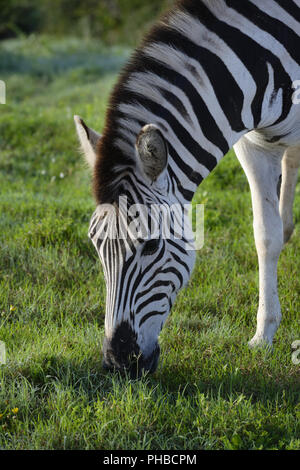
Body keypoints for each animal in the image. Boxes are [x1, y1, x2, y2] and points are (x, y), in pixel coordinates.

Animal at [74, 0, 300, 376]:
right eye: (96, 244)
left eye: (151, 245)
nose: (118, 363)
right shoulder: (254, 144)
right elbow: (265, 236)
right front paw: (263, 335)